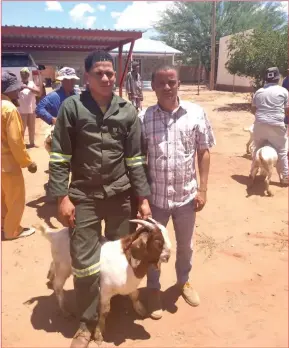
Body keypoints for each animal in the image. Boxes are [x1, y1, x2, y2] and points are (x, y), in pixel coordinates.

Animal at [38, 219, 169, 344]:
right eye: (158, 242)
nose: (168, 256)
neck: (127, 261)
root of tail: (54, 235)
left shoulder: (130, 285)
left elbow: (135, 295)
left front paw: (140, 309)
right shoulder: (105, 291)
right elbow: (105, 311)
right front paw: (99, 334)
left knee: (53, 267)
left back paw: (49, 277)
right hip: (63, 268)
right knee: (58, 286)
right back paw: (65, 311)